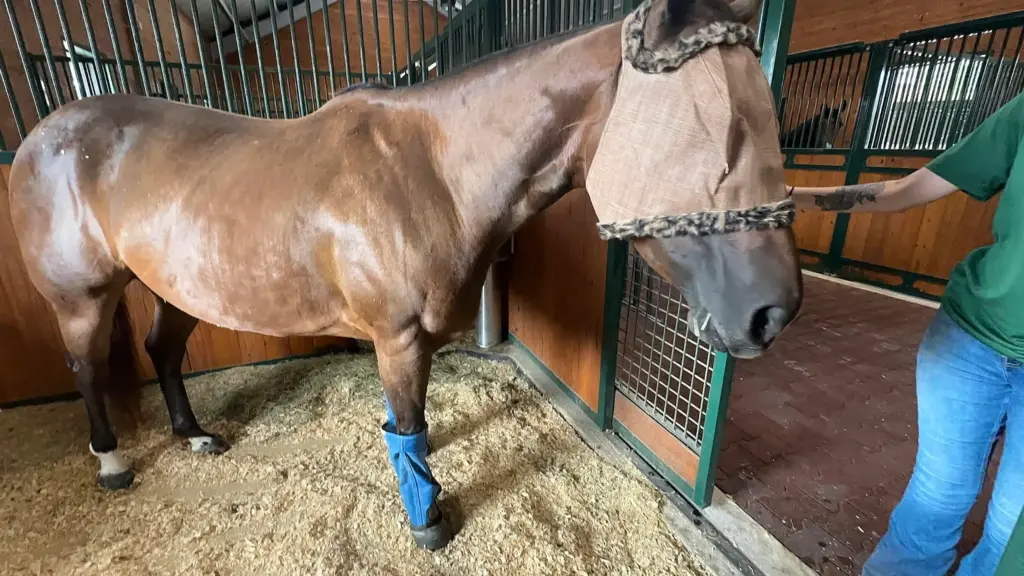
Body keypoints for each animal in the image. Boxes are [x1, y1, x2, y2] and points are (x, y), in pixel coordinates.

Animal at [7, 0, 801, 550]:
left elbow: (416, 424)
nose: (775, 311)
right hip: (83, 299)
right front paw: (428, 521)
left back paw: (194, 436)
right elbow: (408, 428)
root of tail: (43, 136)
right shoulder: (397, 338)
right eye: (712, 128)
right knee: (87, 369)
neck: (432, 172)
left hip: (173, 286)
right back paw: (113, 465)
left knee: (163, 351)